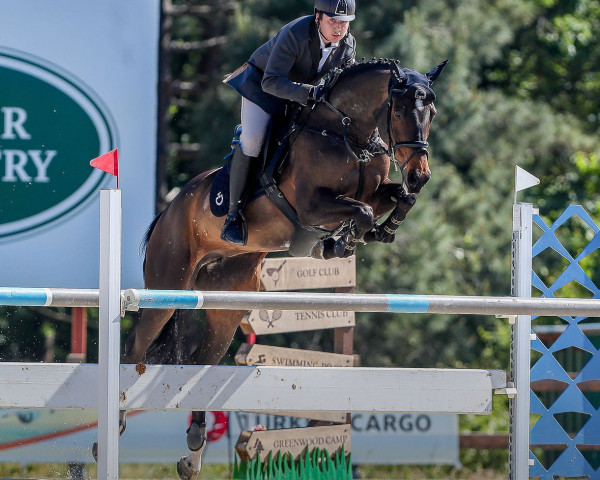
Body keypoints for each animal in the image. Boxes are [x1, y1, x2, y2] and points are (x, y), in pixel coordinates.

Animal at [120, 58, 446, 478]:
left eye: (432, 113)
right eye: (402, 111)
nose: (420, 174)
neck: (348, 133)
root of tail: (169, 208)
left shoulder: (374, 190)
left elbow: (397, 199)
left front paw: (379, 230)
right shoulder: (310, 204)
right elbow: (361, 210)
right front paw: (341, 241)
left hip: (227, 306)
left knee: (201, 362)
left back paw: (193, 452)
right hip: (167, 286)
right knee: (136, 348)